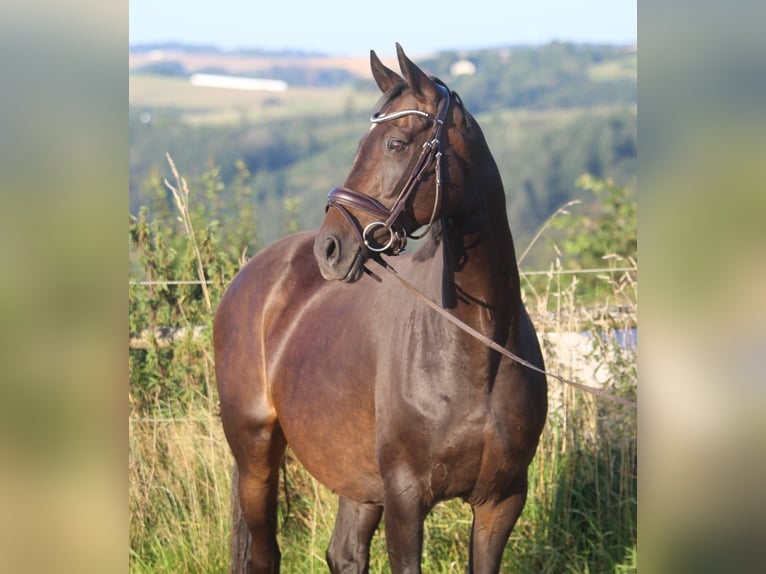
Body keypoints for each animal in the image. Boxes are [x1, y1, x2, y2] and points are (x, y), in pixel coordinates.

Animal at [216, 42, 548, 572]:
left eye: (395, 143)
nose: (331, 247)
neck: (478, 347)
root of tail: (251, 277)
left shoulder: (501, 502)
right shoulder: (406, 499)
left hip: (357, 478)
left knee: (345, 553)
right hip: (255, 455)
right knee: (265, 555)